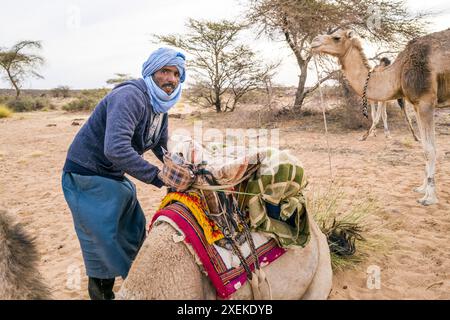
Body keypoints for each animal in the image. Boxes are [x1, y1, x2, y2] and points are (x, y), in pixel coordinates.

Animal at [312, 28, 450, 205]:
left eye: (336, 37)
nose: (314, 41)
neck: (397, 72)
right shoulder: (416, 104)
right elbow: (424, 146)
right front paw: (421, 188)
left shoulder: (426, 101)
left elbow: (430, 149)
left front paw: (429, 198)